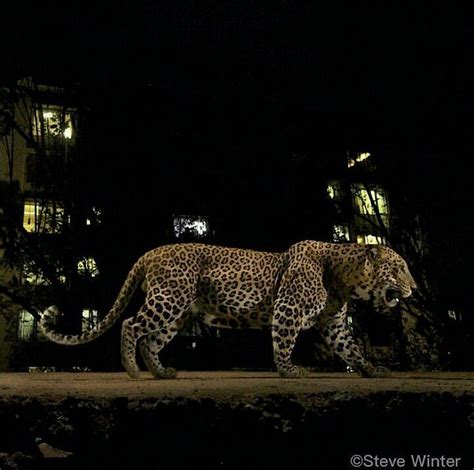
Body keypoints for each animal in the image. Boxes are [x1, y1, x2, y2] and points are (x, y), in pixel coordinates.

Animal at [39, 241, 414, 380]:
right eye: (398, 269)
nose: (414, 288)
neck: (344, 277)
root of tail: (150, 252)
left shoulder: (334, 322)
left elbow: (351, 347)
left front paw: (371, 368)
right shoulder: (288, 309)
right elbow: (283, 343)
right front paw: (289, 370)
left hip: (178, 313)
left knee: (150, 340)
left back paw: (162, 372)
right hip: (168, 300)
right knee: (131, 325)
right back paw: (132, 370)